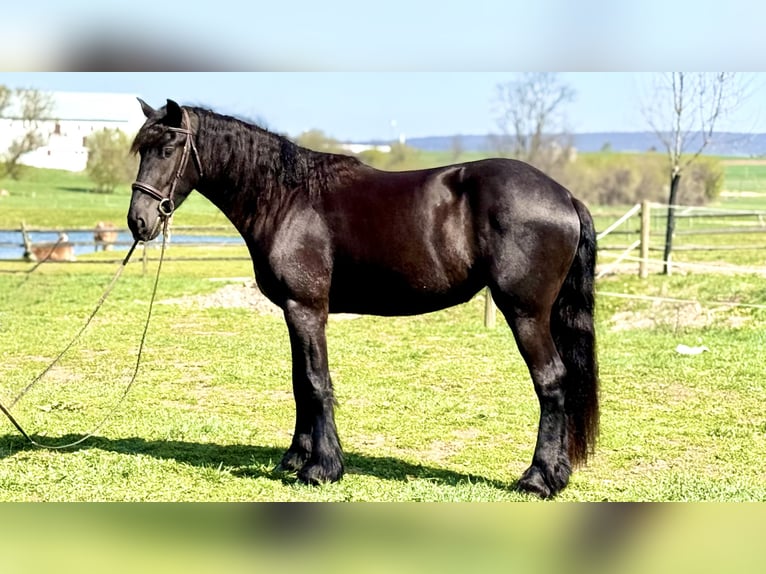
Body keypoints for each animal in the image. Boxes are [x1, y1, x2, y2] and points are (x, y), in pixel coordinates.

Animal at [127, 99, 599, 498]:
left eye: (166, 149)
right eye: (141, 151)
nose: (138, 222)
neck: (288, 198)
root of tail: (565, 196)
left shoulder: (306, 309)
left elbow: (315, 382)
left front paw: (321, 469)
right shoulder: (294, 312)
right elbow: (300, 382)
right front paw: (296, 457)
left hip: (525, 313)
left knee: (551, 382)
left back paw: (537, 479)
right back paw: (556, 475)